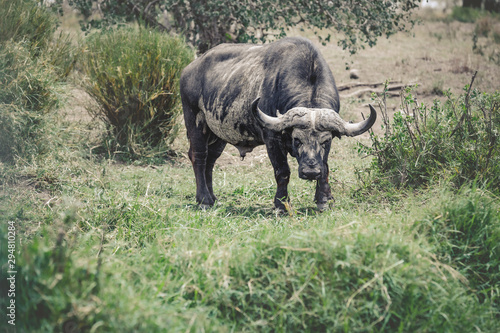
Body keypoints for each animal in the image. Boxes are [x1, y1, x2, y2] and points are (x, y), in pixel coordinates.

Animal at [180, 37, 376, 210]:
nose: (310, 172)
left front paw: (323, 200)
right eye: (297, 140)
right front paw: (281, 205)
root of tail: (188, 70)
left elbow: (325, 168)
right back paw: (204, 199)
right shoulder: (272, 139)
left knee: (211, 160)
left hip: (219, 134)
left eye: (325, 141)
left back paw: (213, 197)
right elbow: (282, 171)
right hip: (194, 121)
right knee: (199, 156)